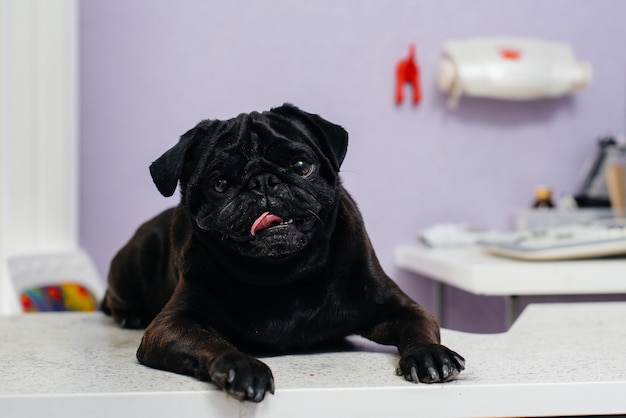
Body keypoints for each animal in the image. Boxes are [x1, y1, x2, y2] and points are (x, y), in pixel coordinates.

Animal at [103, 103, 464, 402]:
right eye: (220, 184)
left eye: (301, 166)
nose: (262, 181)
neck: (284, 274)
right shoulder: (173, 325)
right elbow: (213, 342)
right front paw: (243, 366)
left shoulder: (399, 307)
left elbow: (417, 328)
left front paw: (430, 354)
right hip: (137, 256)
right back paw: (131, 315)